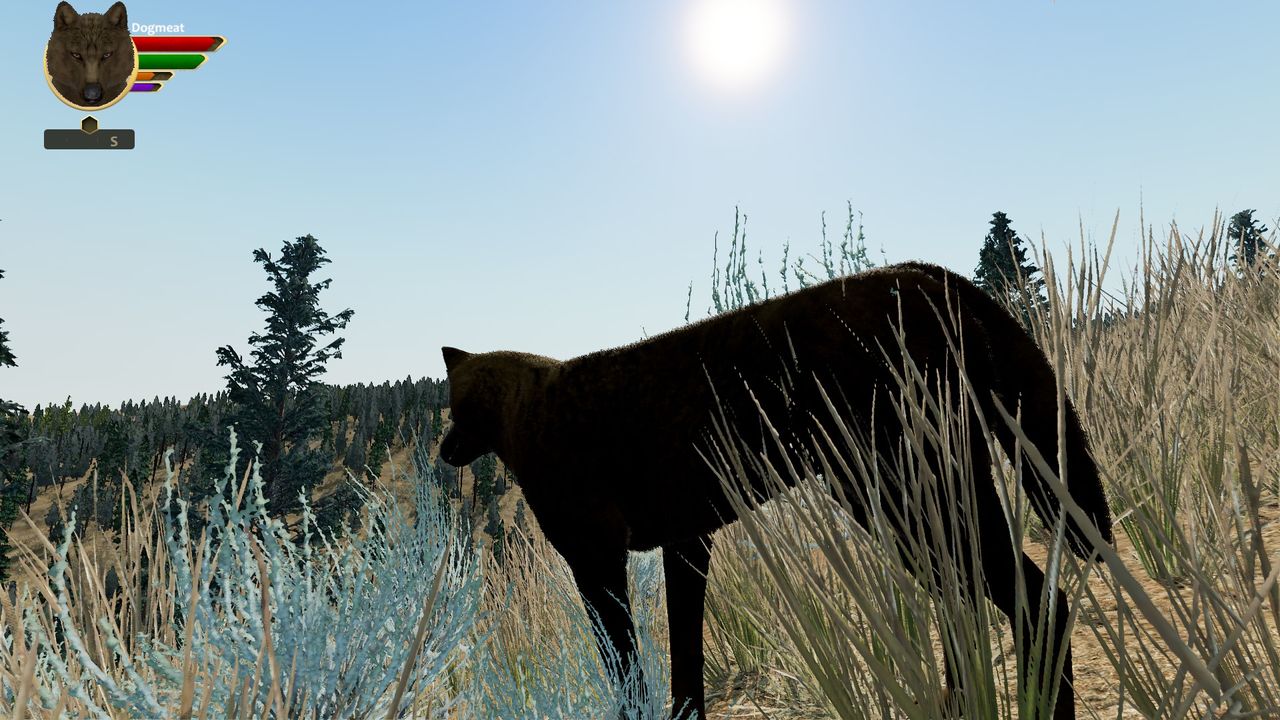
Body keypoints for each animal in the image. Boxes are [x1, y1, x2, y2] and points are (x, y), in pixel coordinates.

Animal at [441, 262, 1113, 720]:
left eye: (456, 402)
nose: (444, 450)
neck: (520, 411)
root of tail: (922, 272)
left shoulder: (595, 558)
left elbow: (626, 665)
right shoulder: (687, 541)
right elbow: (685, 655)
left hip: (904, 491)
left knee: (1030, 597)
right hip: (917, 501)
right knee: (971, 601)